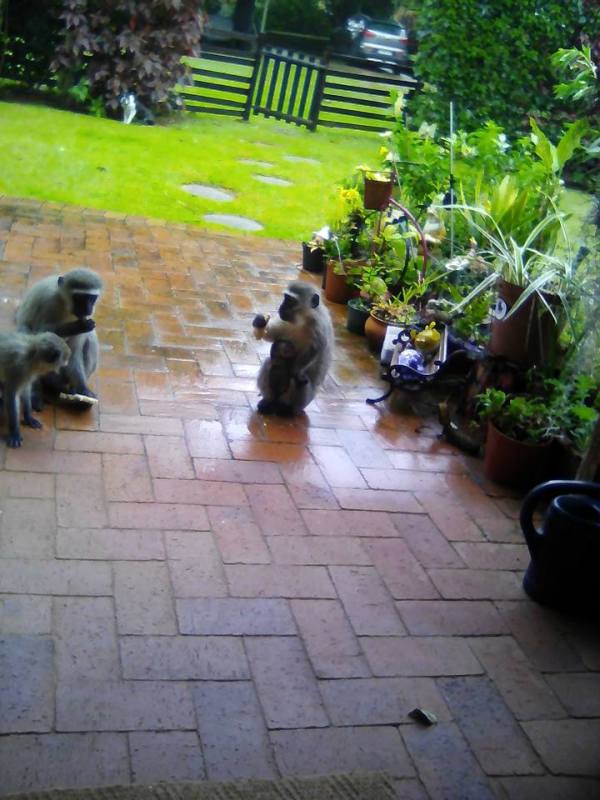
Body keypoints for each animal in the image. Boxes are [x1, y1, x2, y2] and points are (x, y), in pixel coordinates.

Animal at [16, 268, 103, 408]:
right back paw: (37, 391)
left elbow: (74, 352)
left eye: (91, 298)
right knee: (27, 333)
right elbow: (41, 333)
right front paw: (78, 326)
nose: (87, 309)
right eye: (79, 297)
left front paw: (83, 389)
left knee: (91, 338)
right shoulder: (50, 302)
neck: (64, 303)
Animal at [253, 280, 334, 416]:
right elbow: (272, 336)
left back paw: (286, 408)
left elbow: (315, 350)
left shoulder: (318, 326)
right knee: (270, 363)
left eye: (290, 301)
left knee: (299, 379)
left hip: (305, 400)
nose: (282, 306)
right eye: (285, 298)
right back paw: (268, 401)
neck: (302, 320)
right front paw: (260, 322)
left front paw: (296, 370)